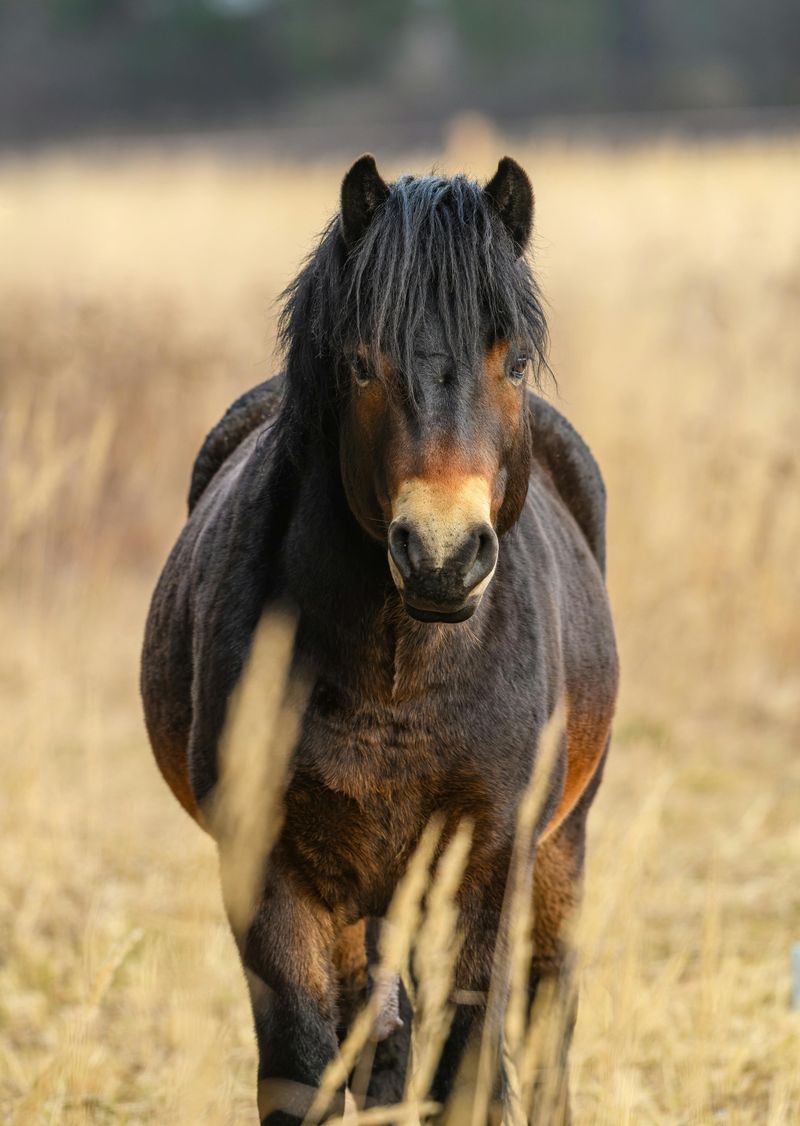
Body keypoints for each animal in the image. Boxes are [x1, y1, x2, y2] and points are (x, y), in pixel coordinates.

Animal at [142, 154, 621, 1121]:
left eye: (514, 362)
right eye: (362, 364)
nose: (441, 556)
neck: (398, 677)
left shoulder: (494, 859)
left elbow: (471, 1063)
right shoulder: (273, 871)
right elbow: (305, 1069)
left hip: (563, 846)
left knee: (545, 1018)